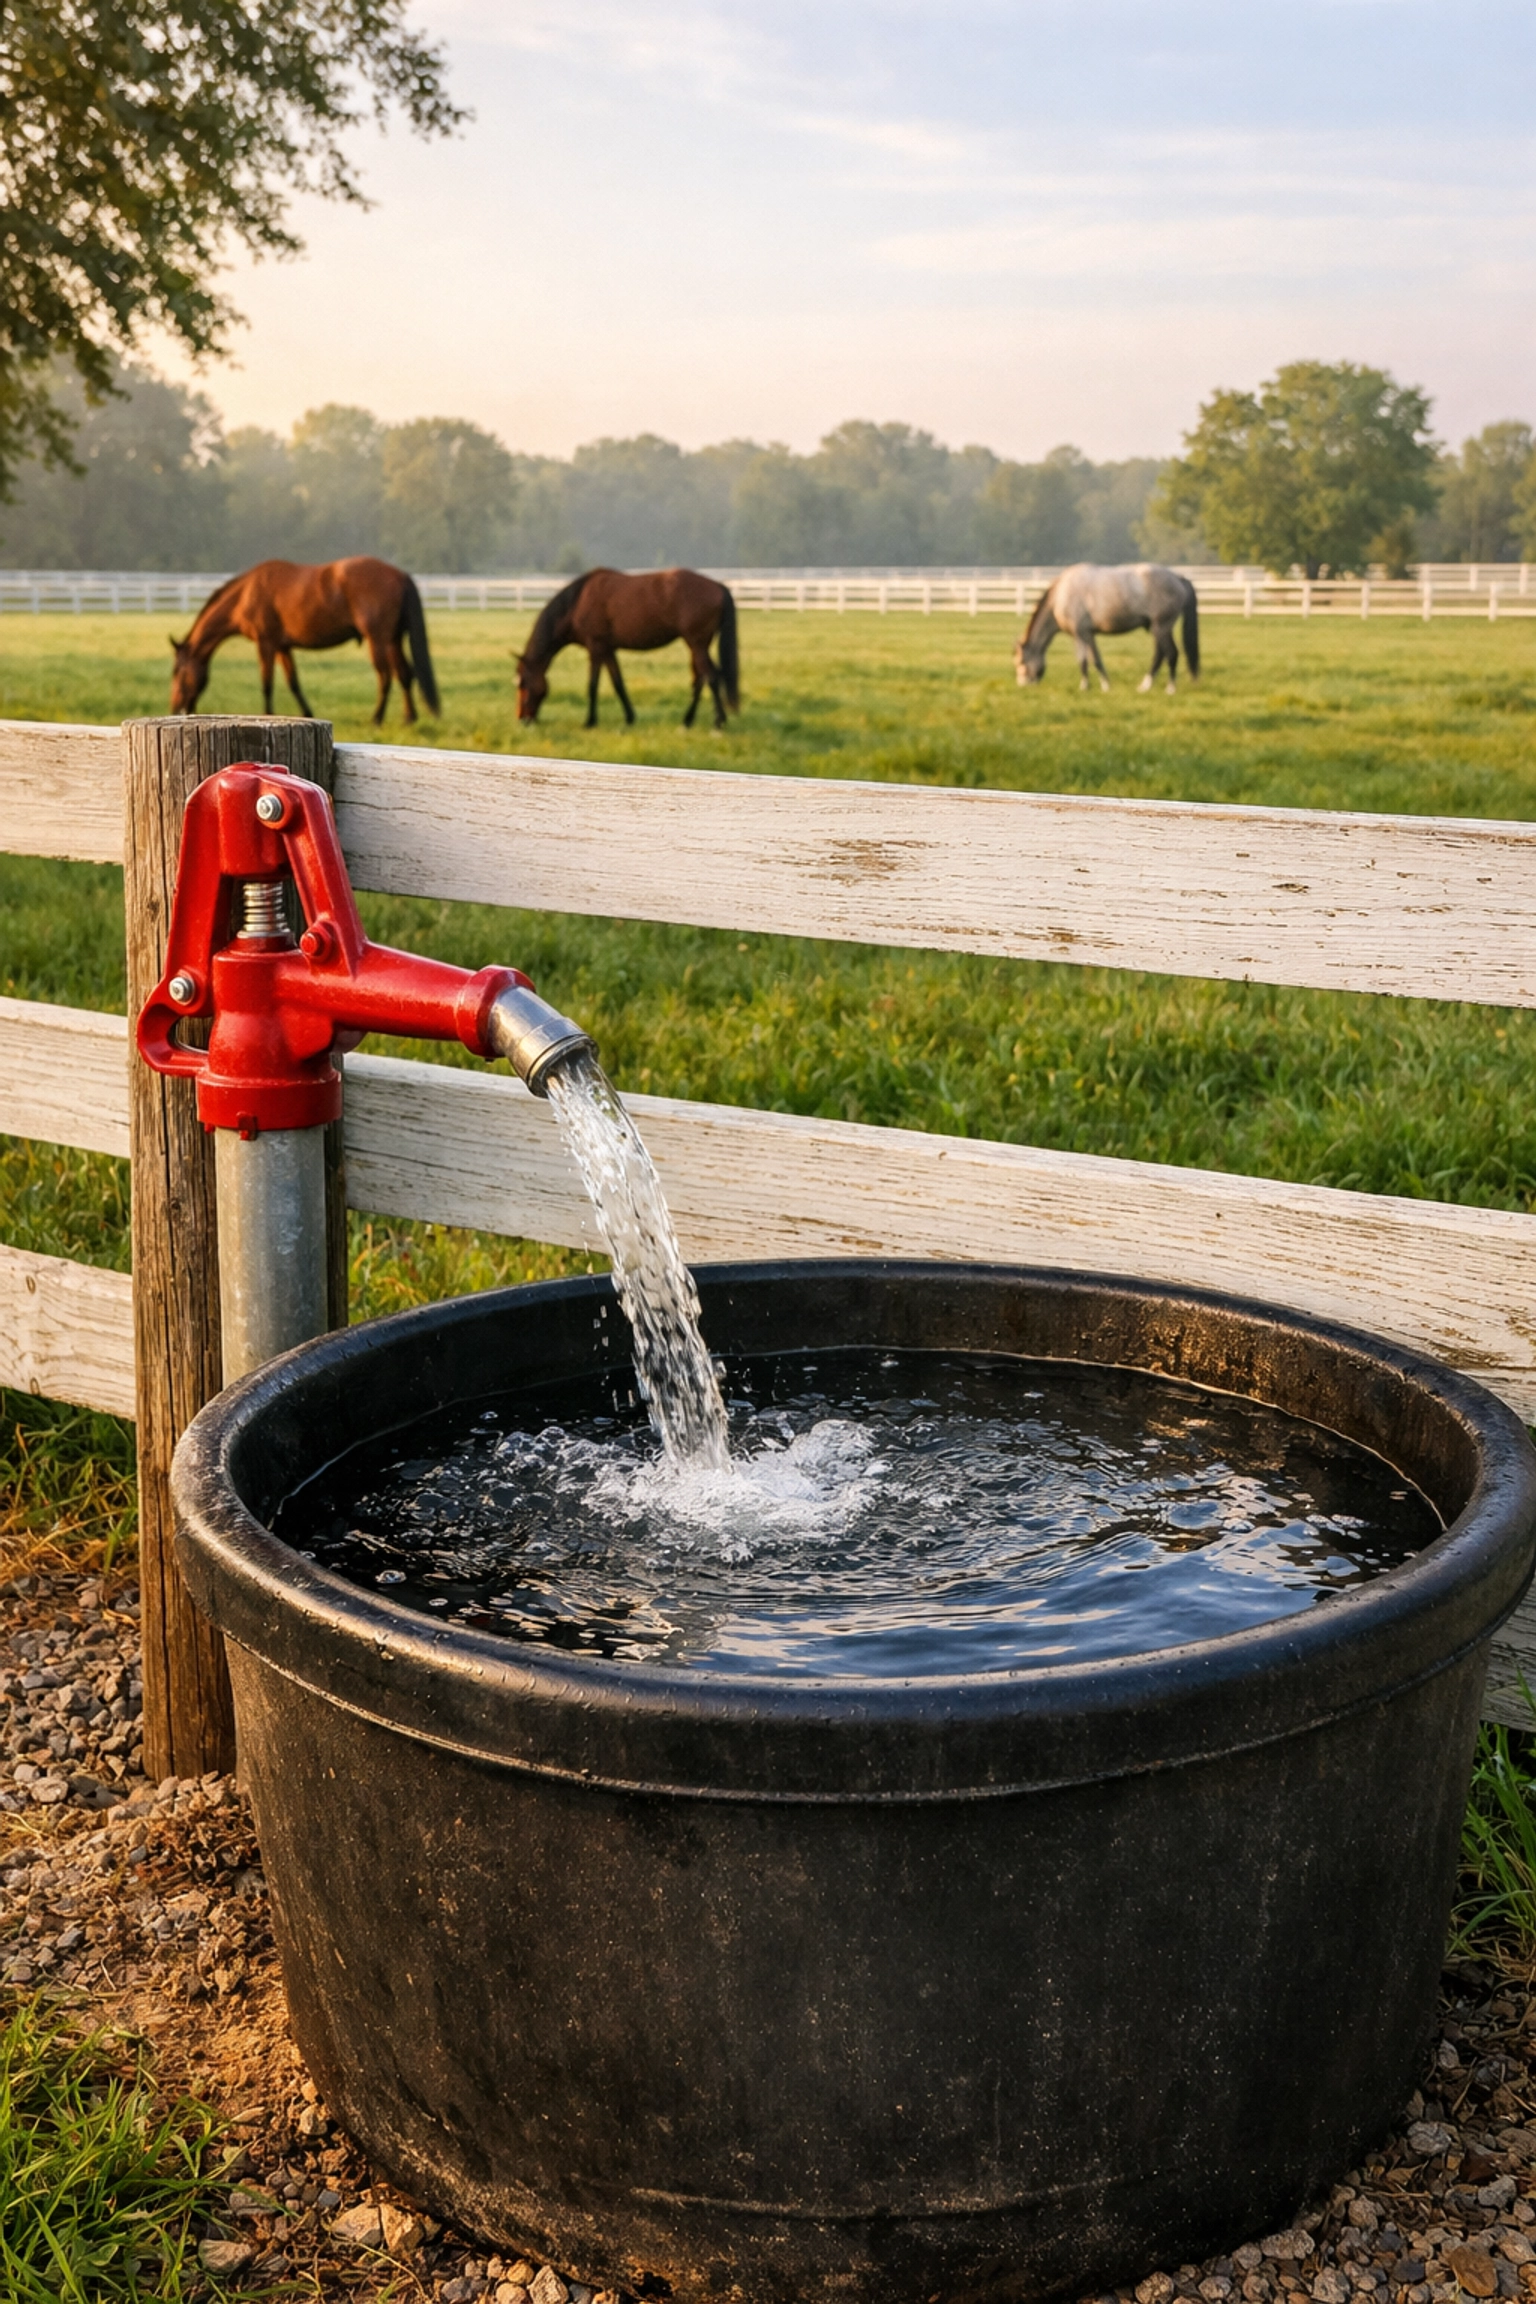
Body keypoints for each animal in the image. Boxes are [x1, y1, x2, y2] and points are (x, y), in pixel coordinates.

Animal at [169, 557, 441, 725]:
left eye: (178, 673)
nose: (176, 709)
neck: (246, 594)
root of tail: (399, 574)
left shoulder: (266, 643)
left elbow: (267, 683)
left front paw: (267, 714)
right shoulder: (283, 647)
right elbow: (293, 683)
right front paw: (307, 713)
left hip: (378, 640)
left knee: (385, 677)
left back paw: (377, 718)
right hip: (393, 640)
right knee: (405, 674)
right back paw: (409, 718)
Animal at [515, 567, 739, 729]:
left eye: (523, 684)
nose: (522, 719)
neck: (578, 602)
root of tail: (718, 586)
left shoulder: (595, 648)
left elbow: (593, 685)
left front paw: (590, 721)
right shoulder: (608, 649)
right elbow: (618, 683)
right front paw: (630, 718)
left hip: (697, 643)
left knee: (711, 677)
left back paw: (718, 723)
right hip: (698, 644)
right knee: (702, 678)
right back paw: (688, 720)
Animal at [1016, 564, 1200, 694]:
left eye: (1022, 662)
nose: (1023, 685)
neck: (1061, 596)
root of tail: (1177, 578)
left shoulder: (1079, 634)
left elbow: (1082, 660)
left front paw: (1084, 687)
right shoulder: (1089, 635)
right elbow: (1096, 659)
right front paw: (1106, 686)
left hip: (1161, 627)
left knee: (1171, 653)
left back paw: (1170, 688)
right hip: (1158, 629)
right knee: (1160, 655)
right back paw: (1145, 686)